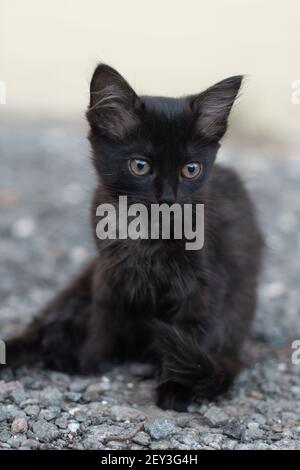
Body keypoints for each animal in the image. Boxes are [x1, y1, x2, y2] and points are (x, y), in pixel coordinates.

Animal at [5, 65, 262, 412]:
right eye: (140, 166)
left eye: (191, 169)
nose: (168, 198)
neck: (147, 234)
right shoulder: (107, 275)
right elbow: (101, 321)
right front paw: (86, 363)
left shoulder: (203, 285)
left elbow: (194, 333)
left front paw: (176, 388)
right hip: (78, 287)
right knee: (43, 326)